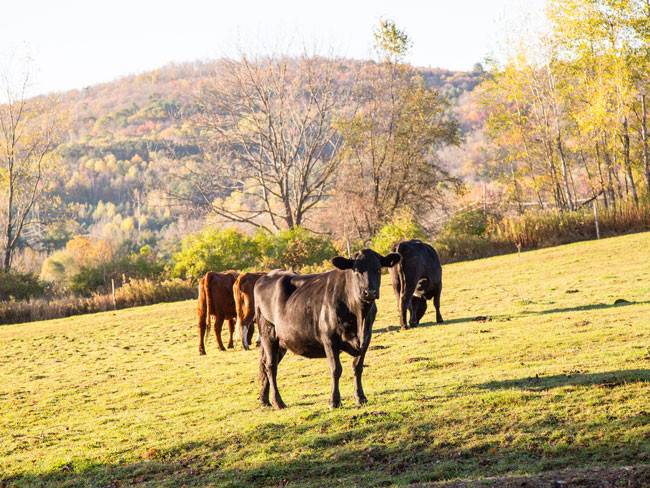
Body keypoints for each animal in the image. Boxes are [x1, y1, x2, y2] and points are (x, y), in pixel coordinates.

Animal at [254, 250, 400, 410]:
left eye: (378, 269)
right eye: (356, 270)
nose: (370, 292)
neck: (359, 317)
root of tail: (267, 275)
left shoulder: (366, 338)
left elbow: (357, 367)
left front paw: (360, 397)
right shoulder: (329, 339)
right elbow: (336, 369)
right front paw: (334, 401)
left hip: (281, 341)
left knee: (265, 365)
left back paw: (264, 401)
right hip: (268, 334)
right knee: (271, 367)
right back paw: (278, 402)